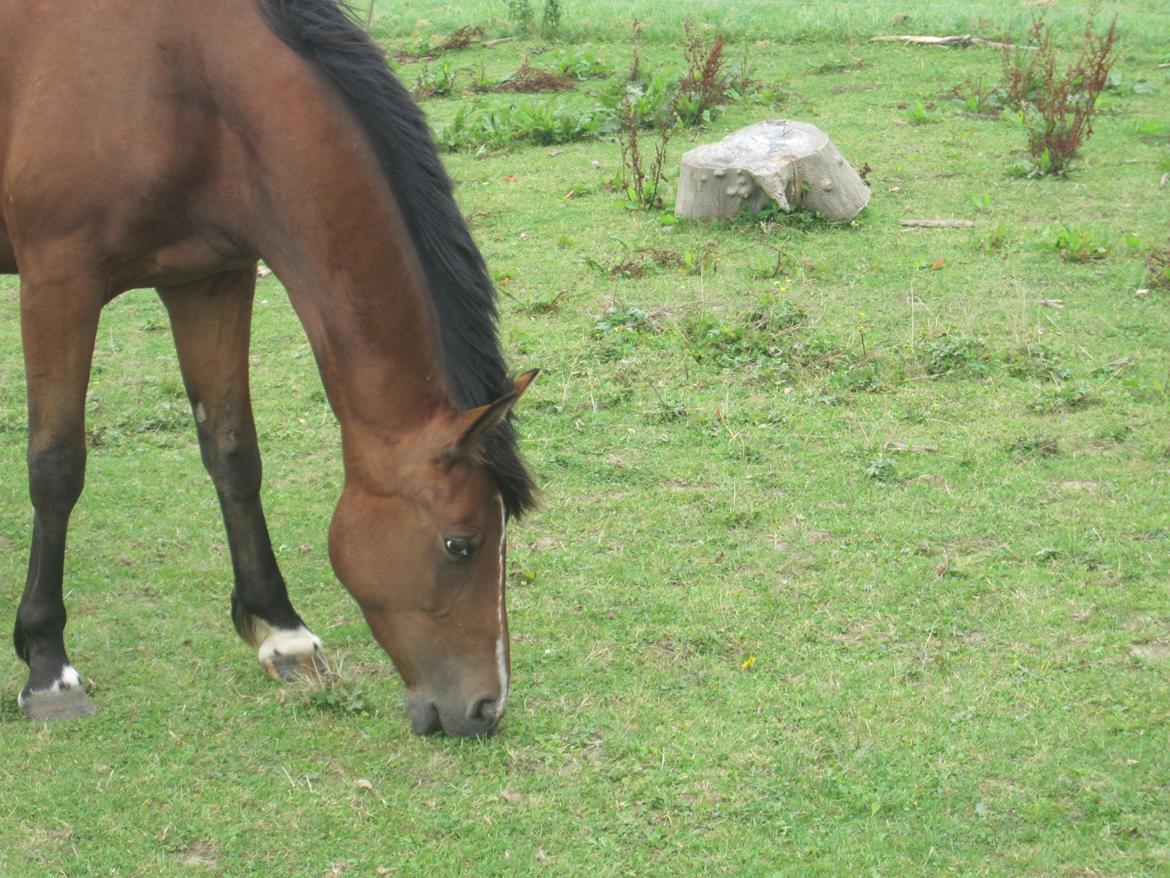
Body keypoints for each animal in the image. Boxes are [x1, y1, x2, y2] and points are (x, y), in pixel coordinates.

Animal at [0, 0, 538, 739]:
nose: (487, 709)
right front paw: (48, 665)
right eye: (462, 544)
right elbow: (56, 468)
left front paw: (281, 632)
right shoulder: (59, 283)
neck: (180, 76)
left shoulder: (209, 280)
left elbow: (233, 454)